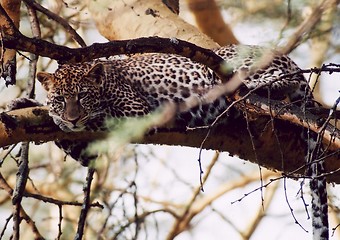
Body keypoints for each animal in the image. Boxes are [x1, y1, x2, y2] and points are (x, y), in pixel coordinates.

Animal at [36, 44, 326, 239]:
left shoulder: (134, 112)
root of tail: (287, 58)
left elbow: (96, 118)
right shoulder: (90, 151)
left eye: (83, 96)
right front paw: (38, 108)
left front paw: (55, 118)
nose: (72, 118)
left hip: (231, 65)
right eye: (60, 99)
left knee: (273, 82)